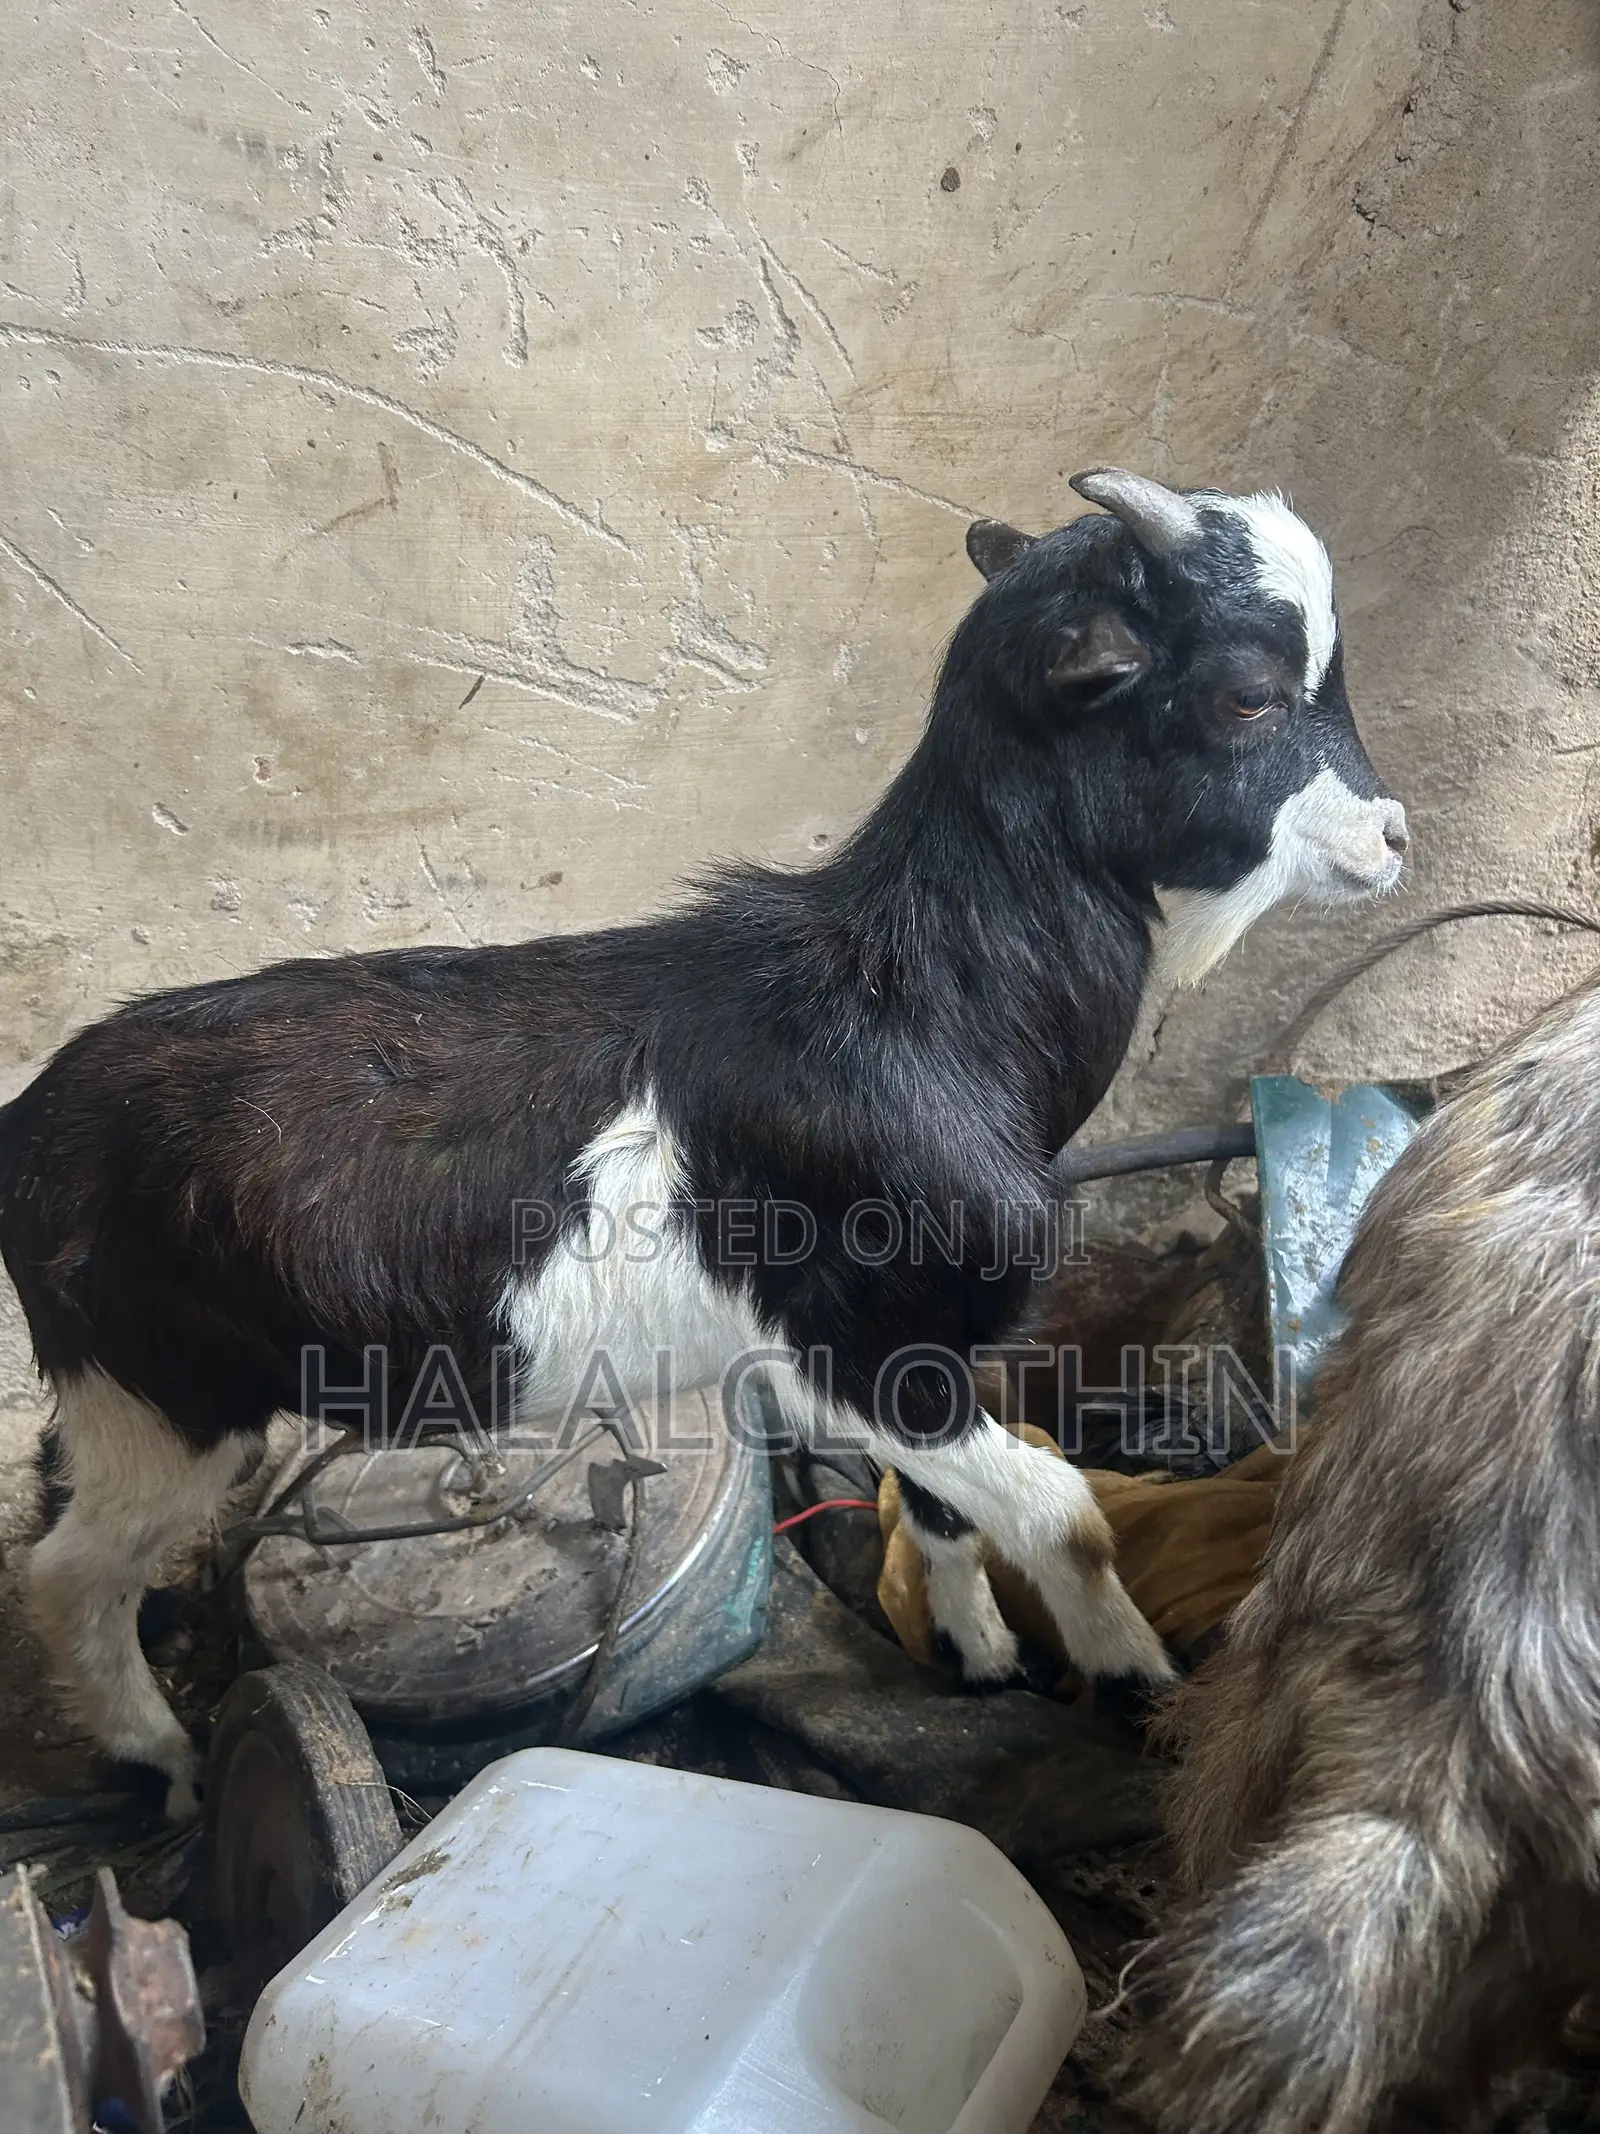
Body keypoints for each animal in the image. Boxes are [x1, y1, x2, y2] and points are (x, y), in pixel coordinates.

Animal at [0, 468, 1406, 1817]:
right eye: (1249, 693)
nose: (1395, 836)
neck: (921, 1002)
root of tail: (30, 1124)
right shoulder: (865, 1342)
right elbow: (1065, 1512)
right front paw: (1133, 1679)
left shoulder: (906, 1349)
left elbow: (944, 1507)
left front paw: (974, 1653)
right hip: (160, 1405)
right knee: (67, 1572)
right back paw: (164, 1761)